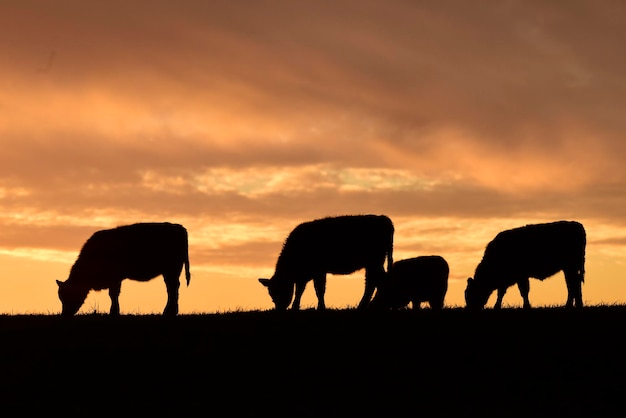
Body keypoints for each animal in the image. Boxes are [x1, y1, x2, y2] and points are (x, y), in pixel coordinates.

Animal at [57, 224, 189, 316]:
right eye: (61, 297)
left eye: (69, 294)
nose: (65, 314)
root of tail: (178, 227)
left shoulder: (115, 279)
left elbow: (113, 294)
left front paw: (114, 312)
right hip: (169, 272)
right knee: (171, 289)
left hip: (171, 270)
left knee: (172, 289)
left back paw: (169, 312)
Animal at [258, 216, 392, 310]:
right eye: (271, 294)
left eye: (282, 289)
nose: (279, 309)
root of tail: (383, 218)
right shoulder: (307, 275)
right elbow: (301, 290)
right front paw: (296, 307)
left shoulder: (318, 271)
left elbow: (319, 290)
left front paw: (320, 308)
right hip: (374, 263)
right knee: (375, 281)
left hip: (375, 261)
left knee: (375, 282)